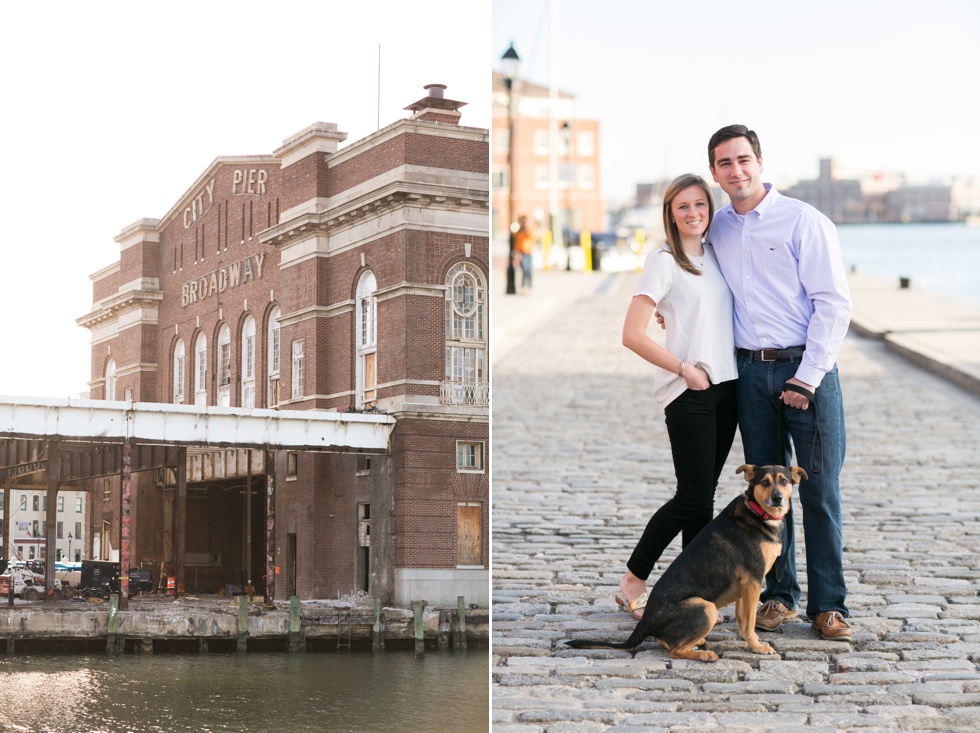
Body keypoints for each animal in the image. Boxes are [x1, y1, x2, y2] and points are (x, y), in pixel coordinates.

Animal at [568, 466, 804, 660]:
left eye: (784, 481)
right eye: (764, 482)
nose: (778, 498)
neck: (758, 512)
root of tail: (645, 622)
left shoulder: (745, 586)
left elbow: (742, 619)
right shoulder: (753, 581)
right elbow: (749, 622)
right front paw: (758, 647)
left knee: (667, 642)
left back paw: (698, 642)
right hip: (706, 607)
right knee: (674, 651)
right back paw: (705, 655)